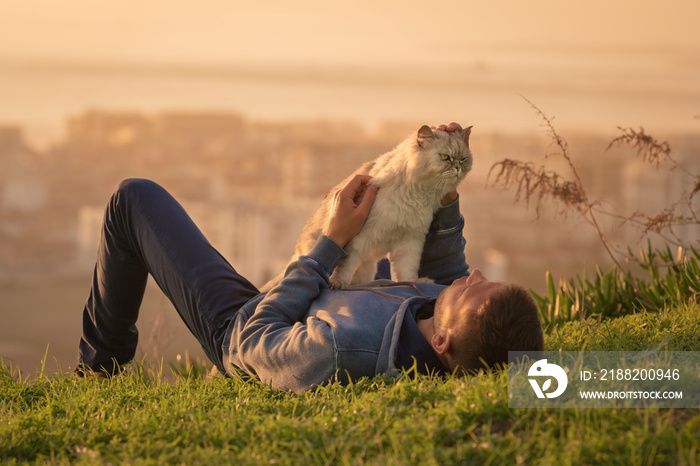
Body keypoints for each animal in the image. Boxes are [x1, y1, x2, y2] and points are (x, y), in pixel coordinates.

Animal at [260, 124, 474, 292]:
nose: (457, 168)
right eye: (445, 157)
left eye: (463, 159)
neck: (420, 193)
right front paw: (337, 284)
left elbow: (407, 270)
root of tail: (297, 251)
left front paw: (414, 283)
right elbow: (346, 264)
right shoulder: (361, 236)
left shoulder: (410, 240)